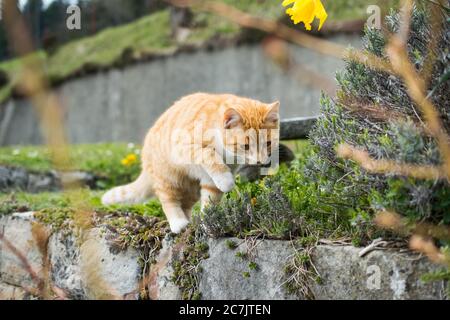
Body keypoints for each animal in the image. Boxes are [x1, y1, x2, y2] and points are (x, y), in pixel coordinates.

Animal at [102, 92, 280, 232]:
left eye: (268, 143)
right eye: (246, 146)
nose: (260, 161)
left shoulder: (210, 181)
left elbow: (210, 202)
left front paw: (209, 224)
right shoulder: (183, 148)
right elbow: (208, 153)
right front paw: (226, 180)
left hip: (190, 188)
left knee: (185, 204)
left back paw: (190, 221)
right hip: (167, 178)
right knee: (168, 200)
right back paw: (179, 223)